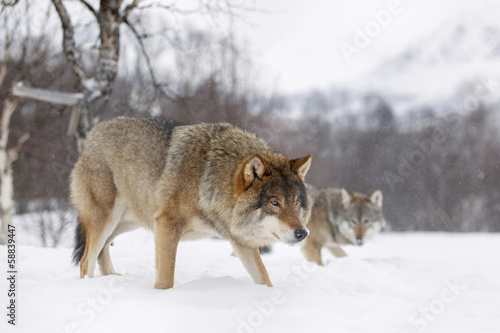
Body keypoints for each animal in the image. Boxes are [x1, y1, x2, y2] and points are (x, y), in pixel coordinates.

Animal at [70, 116, 312, 288]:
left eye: (296, 202)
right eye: (274, 203)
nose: (302, 233)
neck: (207, 179)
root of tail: (92, 133)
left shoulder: (240, 241)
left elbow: (264, 277)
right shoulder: (167, 225)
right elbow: (165, 279)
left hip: (130, 223)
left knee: (101, 251)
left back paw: (110, 279)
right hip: (106, 221)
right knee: (86, 260)